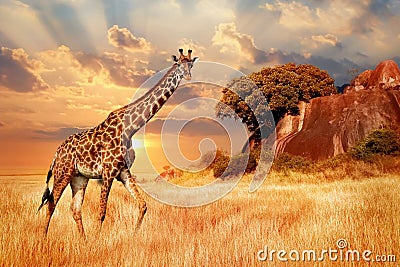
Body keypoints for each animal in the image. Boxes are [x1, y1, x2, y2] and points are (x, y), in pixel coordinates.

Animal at [38, 49, 198, 238]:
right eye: (179, 64)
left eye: (191, 64)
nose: (188, 76)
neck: (130, 128)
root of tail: (56, 153)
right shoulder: (108, 172)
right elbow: (102, 211)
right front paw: (97, 241)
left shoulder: (123, 171)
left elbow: (143, 205)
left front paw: (133, 237)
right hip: (63, 172)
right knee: (51, 204)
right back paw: (43, 240)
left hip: (79, 177)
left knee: (75, 209)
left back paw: (82, 240)